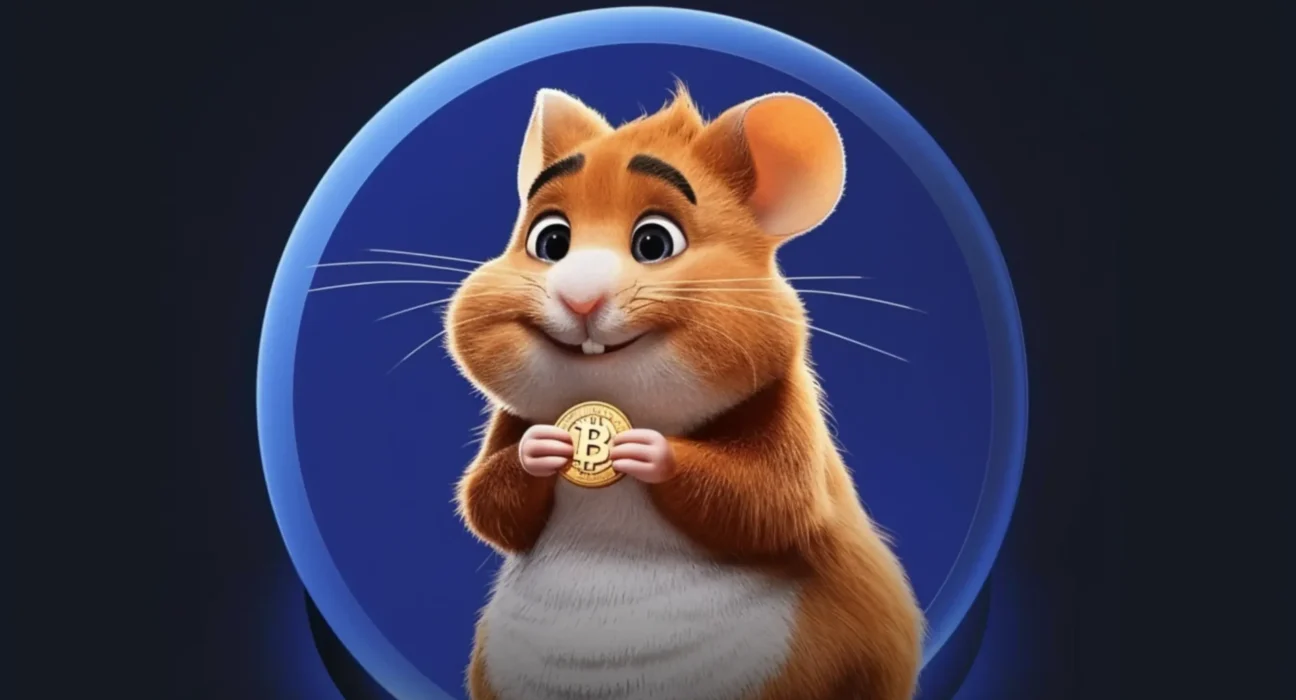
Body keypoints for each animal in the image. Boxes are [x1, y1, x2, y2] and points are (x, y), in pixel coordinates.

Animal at [446, 83, 924, 700]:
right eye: (550, 241)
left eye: (654, 242)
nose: (579, 300)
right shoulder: (509, 424)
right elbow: (488, 501)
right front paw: (544, 449)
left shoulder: (789, 435)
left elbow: (767, 502)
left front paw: (644, 449)